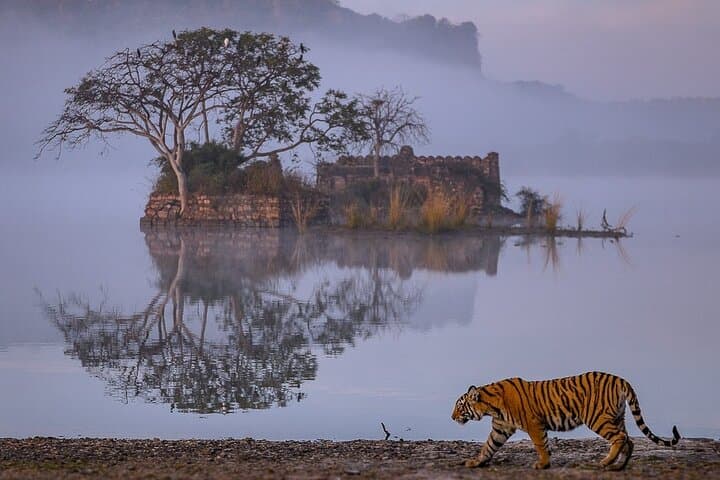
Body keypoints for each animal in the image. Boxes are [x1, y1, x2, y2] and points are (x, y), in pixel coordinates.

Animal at [451, 371, 680, 470]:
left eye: (459, 406)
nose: (452, 417)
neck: (491, 406)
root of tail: (620, 379)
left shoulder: (533, 424)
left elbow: (540, 445)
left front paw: (543, 464)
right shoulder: (500, 429)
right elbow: (488, 446)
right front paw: (475, 462)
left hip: (597, 418)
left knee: (619, 438)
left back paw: (605, 462)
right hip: (617, 417)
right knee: (628, 440)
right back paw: (618, 466)